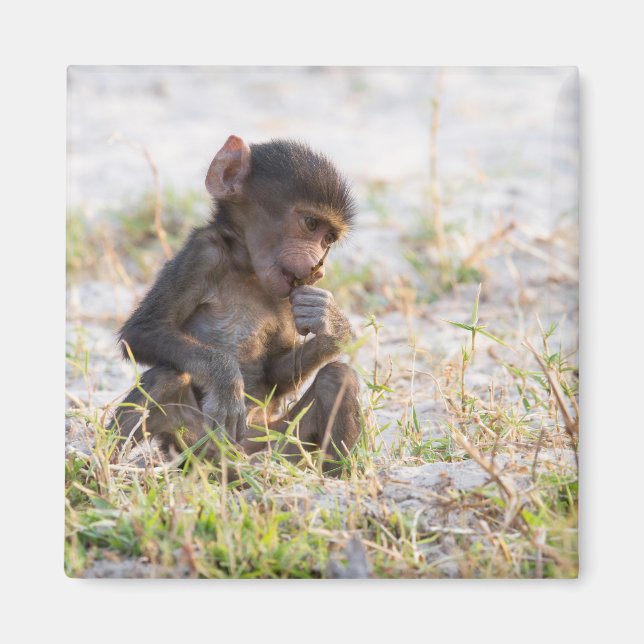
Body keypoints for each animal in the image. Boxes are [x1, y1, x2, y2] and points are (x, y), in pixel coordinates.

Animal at [112, 135, 361, 473]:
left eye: (329, 238)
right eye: (311, 224)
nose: (318, 269)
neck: (247, 270)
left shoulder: (285, 296)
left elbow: (275, 372)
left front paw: (330, 324)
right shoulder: (203, 253)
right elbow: (142, 331)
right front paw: (226, 380)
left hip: (278, 443)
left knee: (338, 377)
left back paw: (334, 476)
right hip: (195, 445)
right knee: (165, 376)